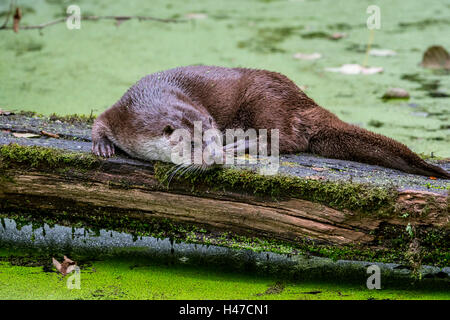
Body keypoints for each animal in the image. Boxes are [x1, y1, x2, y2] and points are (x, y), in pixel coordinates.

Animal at [91, 66, 450, 179]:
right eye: (192, 143)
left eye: (213, 139)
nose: (217, 155)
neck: (150, 103)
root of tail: (304, 99)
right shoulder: (122, 111)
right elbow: (98, 122)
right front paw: (103, 146)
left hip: (265, 99)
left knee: (288, 139)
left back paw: (243, 143)